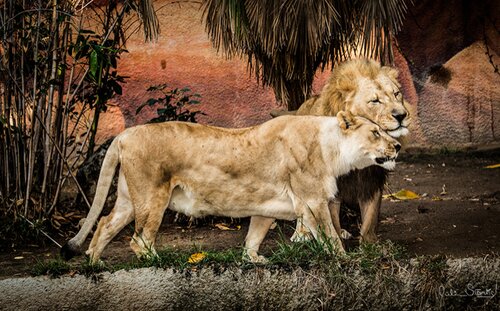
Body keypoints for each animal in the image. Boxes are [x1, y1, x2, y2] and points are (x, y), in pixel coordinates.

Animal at [62, 112, 400, 264]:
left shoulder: (268, 206)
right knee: (138, 240)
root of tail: (123, 134)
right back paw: (155, 260)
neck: (333, 150)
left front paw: (253, 260)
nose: (397, 146)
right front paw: (346, 260)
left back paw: (95, 264)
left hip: (130, 199)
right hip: (152, 196)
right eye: (375, 133)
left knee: (105, 224)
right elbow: (330, 234)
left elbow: (255, 235)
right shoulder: (315, 200)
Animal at [292, 58, 408, 244]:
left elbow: (370, 218)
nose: (402, 115)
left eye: (397, 94)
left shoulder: (372, 179)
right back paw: (301, 233)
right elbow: (331, 220)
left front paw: (370, 245)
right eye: (375, 101)